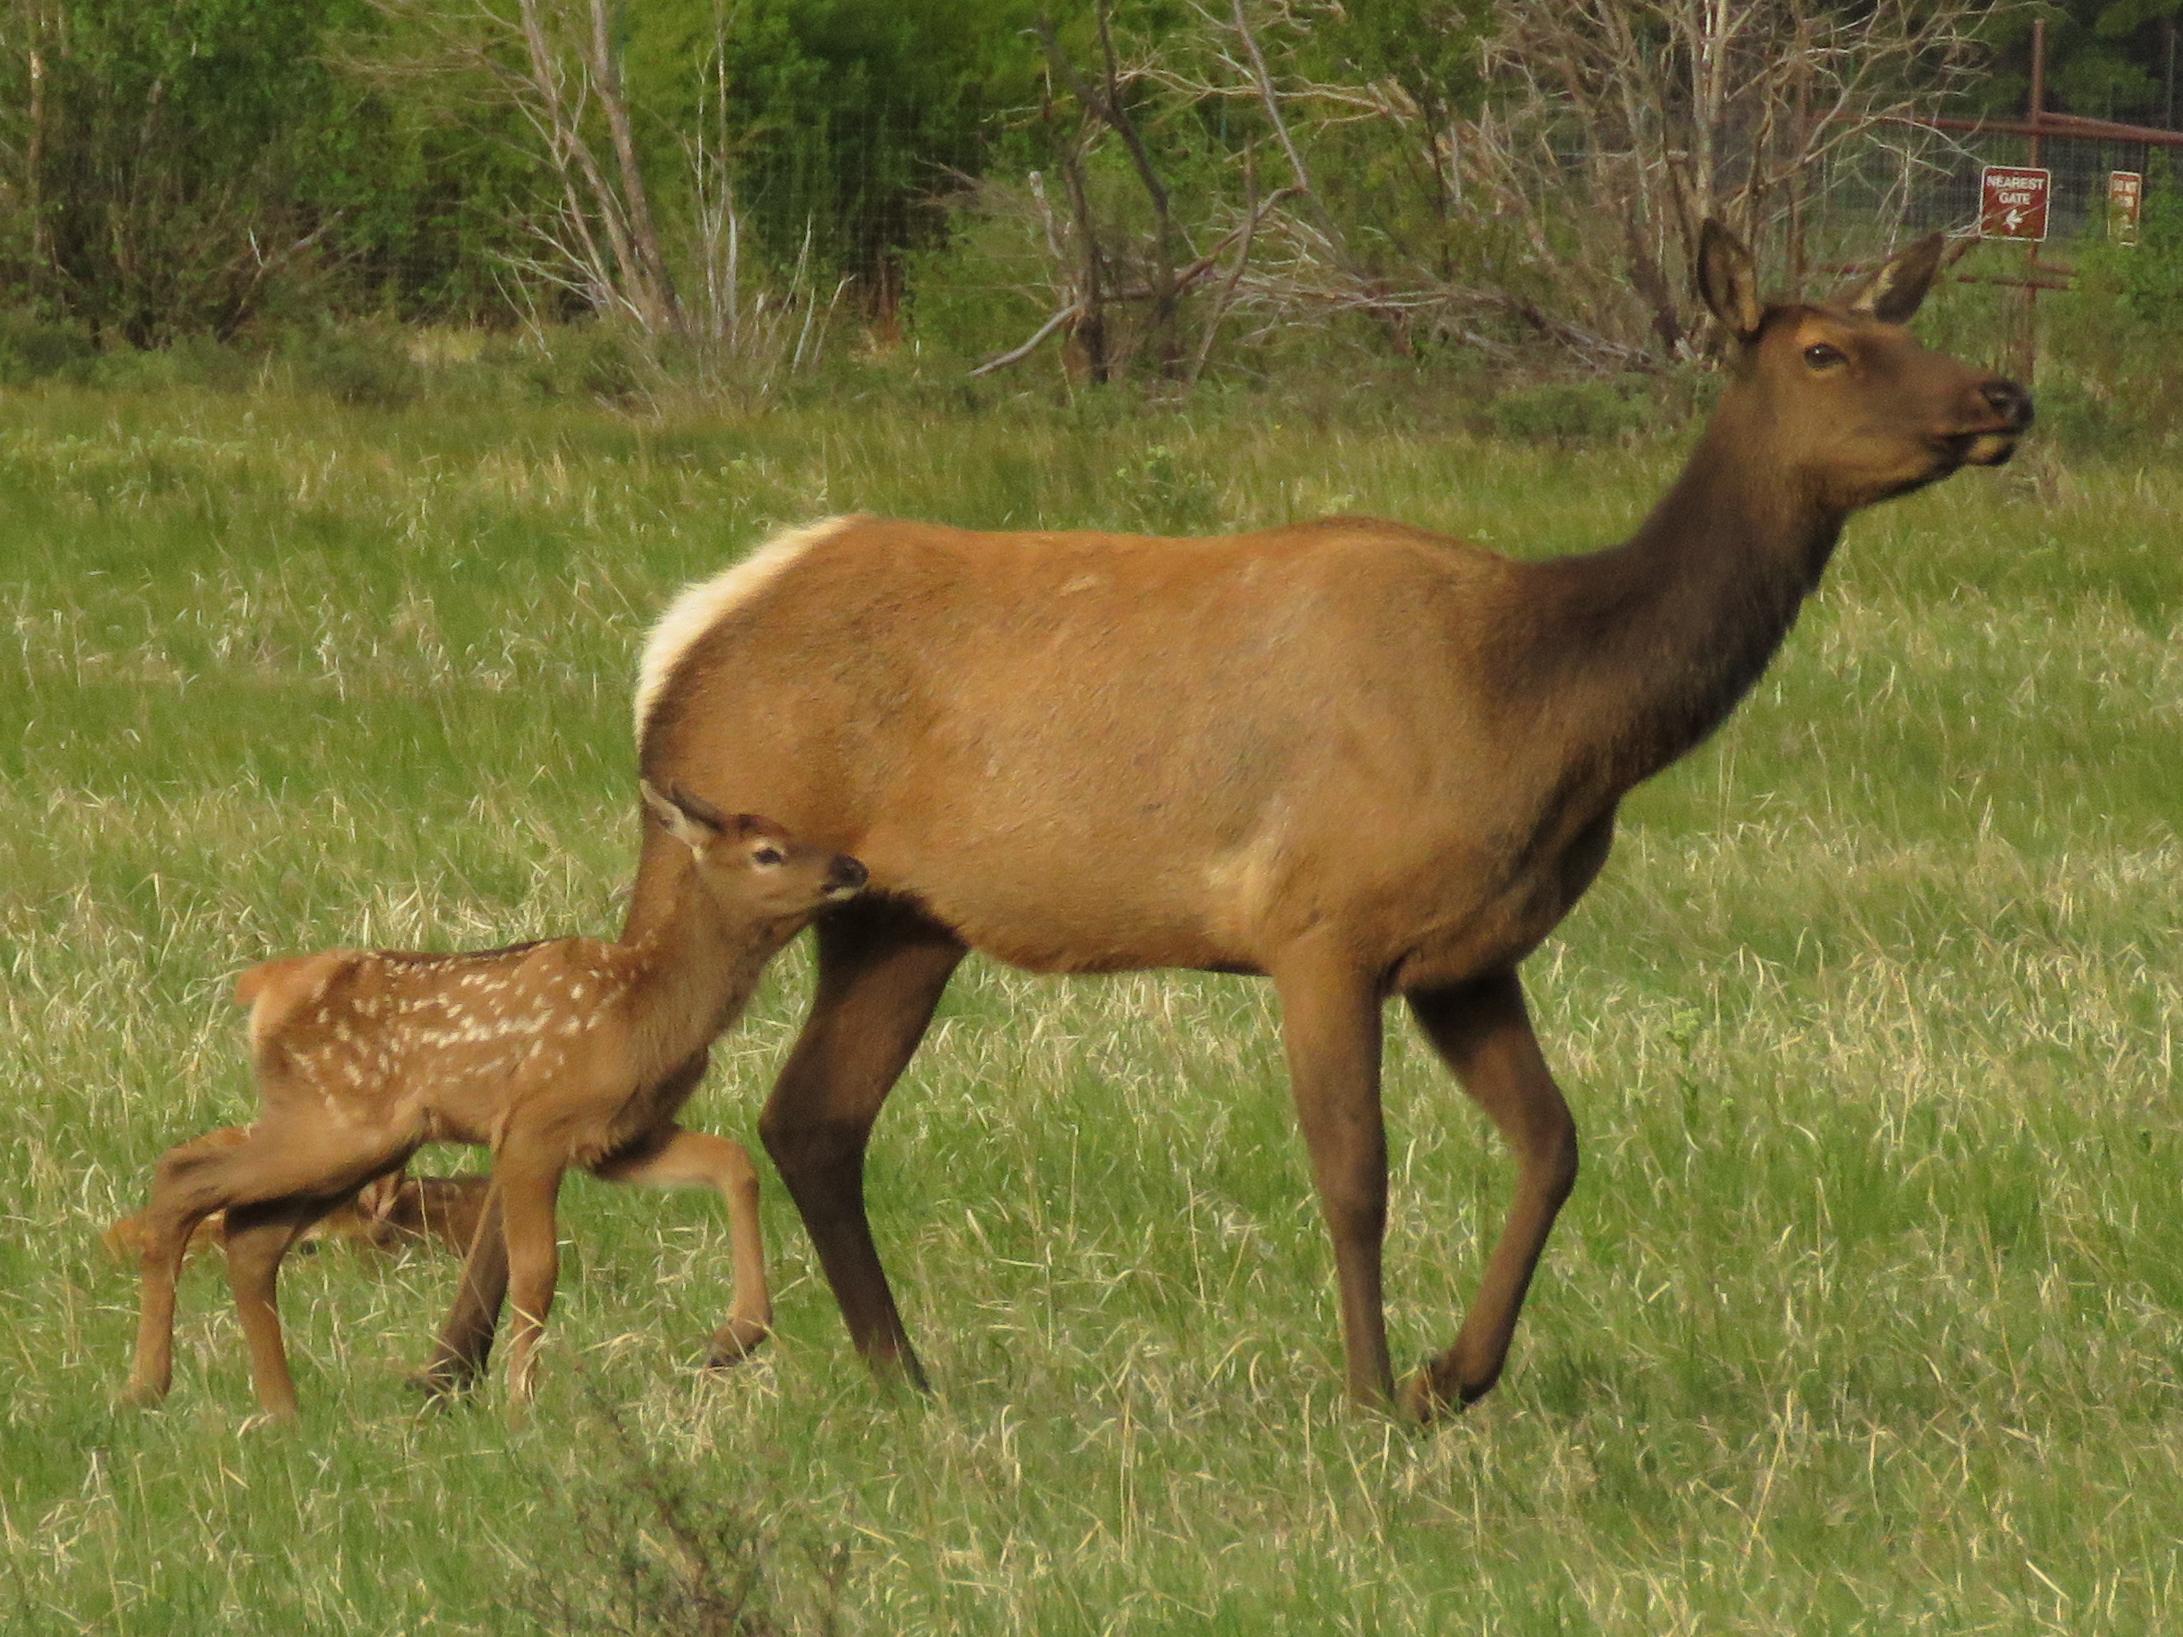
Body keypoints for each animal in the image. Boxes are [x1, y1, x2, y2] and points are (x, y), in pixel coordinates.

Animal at [122, 784, 867, 1420]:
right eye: (767, 852)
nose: (853, 866)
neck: (649, 1010)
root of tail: (263, 988)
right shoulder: (534, 1124)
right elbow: (538, 1270)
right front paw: (521, 1405)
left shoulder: (621, 1136)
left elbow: (734, 1162)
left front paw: (734, 1336)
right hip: (335, 1123)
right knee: (184, 1175)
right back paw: (149, 1387)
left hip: (353, 1142)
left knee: (250, 1234)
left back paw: (281, 1408)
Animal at [417, 221, 2033, 1421]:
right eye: (1826, 350)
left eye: (1903, 327)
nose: (2002, 396)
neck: (1544, 708)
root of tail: (677, 639)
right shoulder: (1322, 921)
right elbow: (1354, 1174)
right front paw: (1372, 1394)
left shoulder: (1465, 952)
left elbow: (1554, 1145)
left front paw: (1454, 1374)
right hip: (722, 856)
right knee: (581, 1057)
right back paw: (456, 1367)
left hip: (893, 912)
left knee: (811, 1117)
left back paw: (893, 1378)